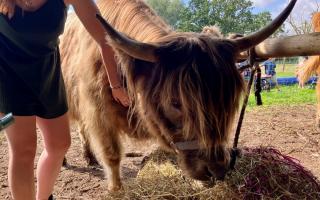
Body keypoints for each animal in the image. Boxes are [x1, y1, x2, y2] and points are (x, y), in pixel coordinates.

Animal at [59, 0, 296, 191]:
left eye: (229, 101)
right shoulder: (97, 111)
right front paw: (116, 190)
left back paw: (90, 158)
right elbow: (112, 155)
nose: (216, 169)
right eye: (175, 103)